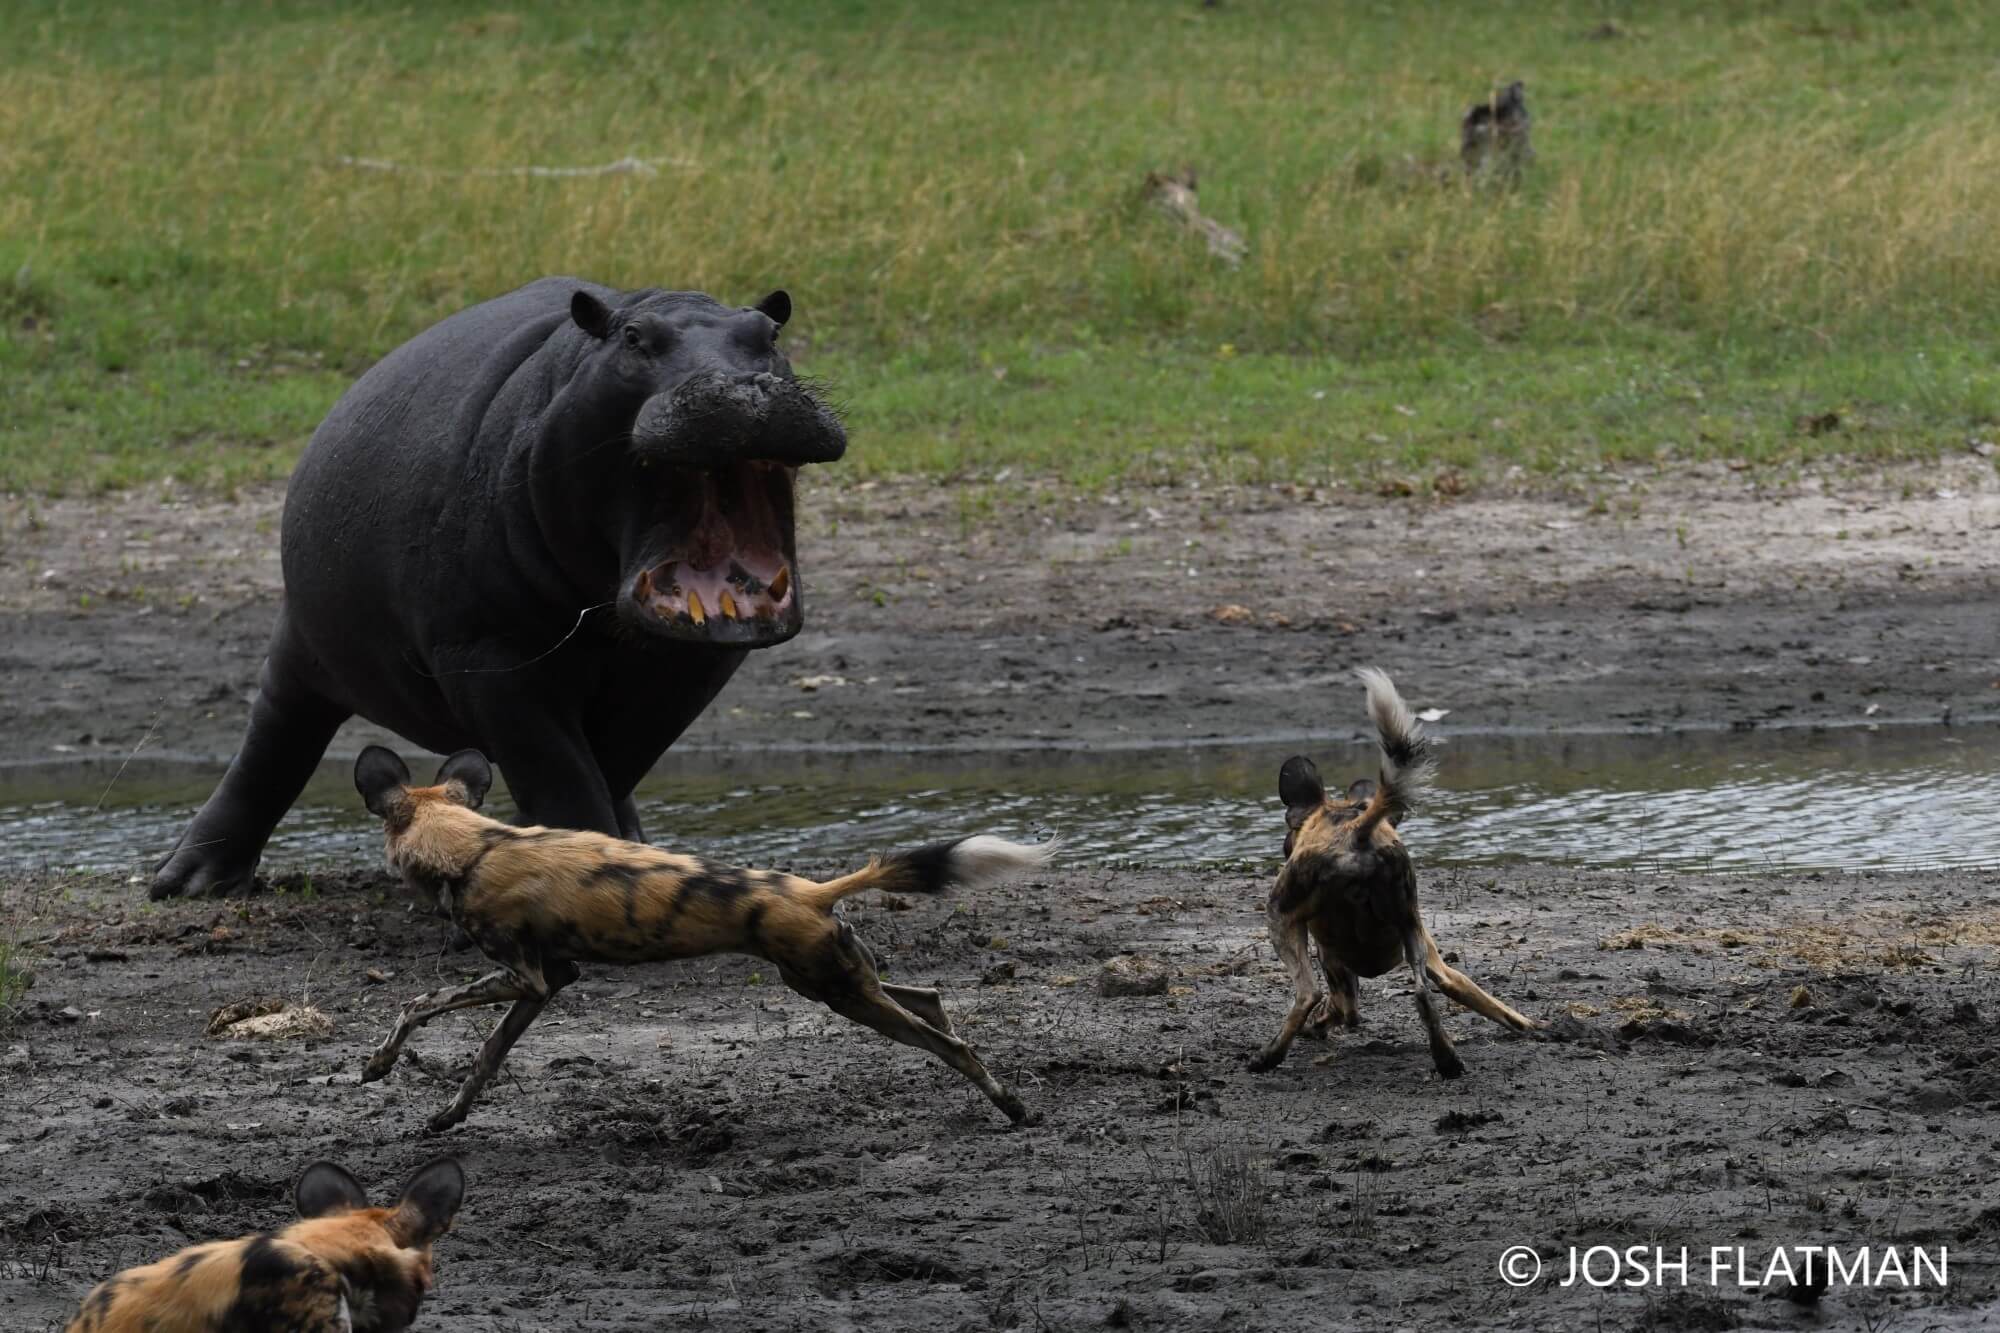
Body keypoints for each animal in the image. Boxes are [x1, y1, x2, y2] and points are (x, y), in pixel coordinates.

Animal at [150, 272, 844, 892]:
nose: (741, 388)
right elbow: (564, 773)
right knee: (272, 743)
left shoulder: (690, 669)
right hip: (303, 645)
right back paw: (188, 882)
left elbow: (612, 763)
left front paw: (602, 850)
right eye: (634, 338)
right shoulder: (490, 658)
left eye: (770, 333)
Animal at [354, 740, 1064, 1128]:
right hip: (831, 983)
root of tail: (811, 889)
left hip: (839, 993)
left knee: (952, 1045)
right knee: (932, 1001)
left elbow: (416, 1004)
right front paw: (448, 1117)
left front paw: (380, 1063)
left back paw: (1012, 1107)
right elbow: (486, 1058)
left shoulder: (521, 977)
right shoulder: (548, 982)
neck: (471, 845)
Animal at [1240, 668, 1536, 1072]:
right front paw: (1537, 1028)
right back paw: (1448, 1063)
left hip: (1280, 917)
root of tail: (1357, 830)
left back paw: (1267, 1058)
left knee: (1306, 994)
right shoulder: (1438, 964)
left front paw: (1317, 1028)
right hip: (1411, 931)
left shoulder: (1333, 962)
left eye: (1287, 841)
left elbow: (1340, 1009)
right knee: (1423, 995)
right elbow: (1492, 1004)